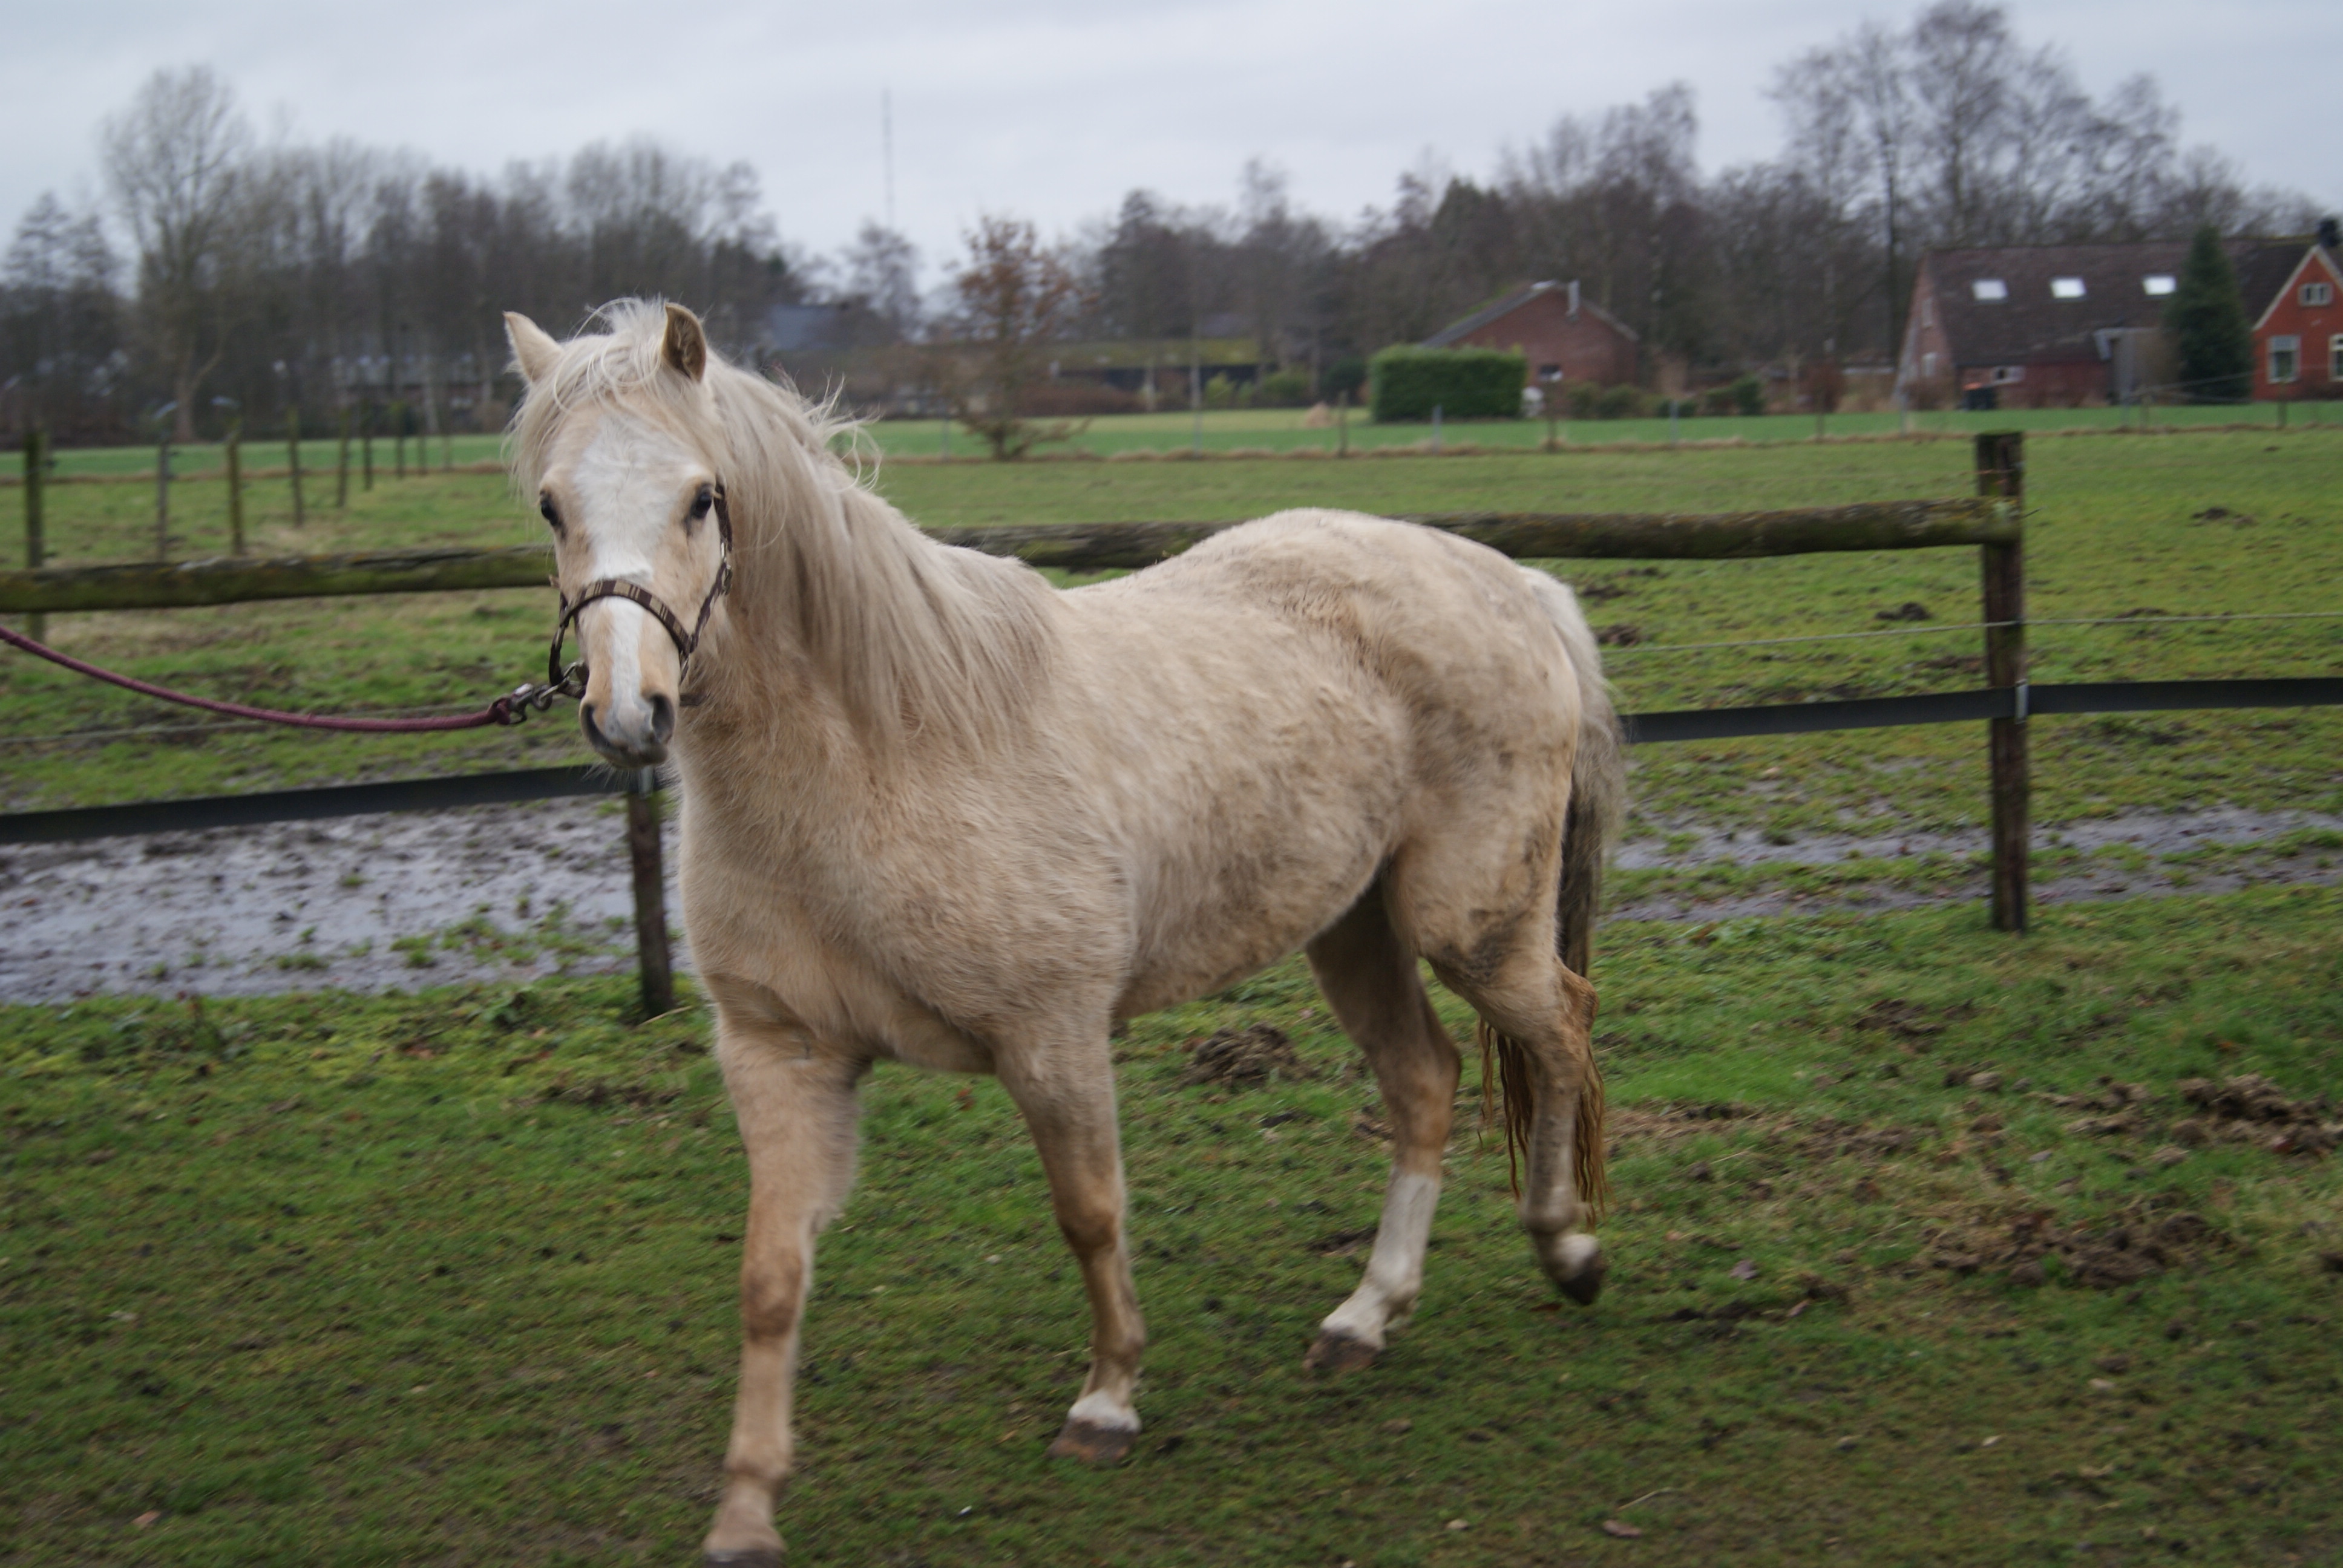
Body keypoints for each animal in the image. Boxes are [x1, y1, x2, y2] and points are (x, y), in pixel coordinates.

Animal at [503, 299, 1621, 1556]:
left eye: (702, 496)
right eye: (551, 505)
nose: (627, 714)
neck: (879, 756)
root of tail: (1515, 581)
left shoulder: (1053, 1037)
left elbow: (1089, 1216)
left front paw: (1108, 1399)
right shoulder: (780, 1056)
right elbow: (769, 1279)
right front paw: (746, 1508)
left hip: (1464, 925)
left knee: (1562, 1034)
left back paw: (1567, 1246)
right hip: (1353, 929)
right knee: (1426, 1081)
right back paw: (1364, 1316)